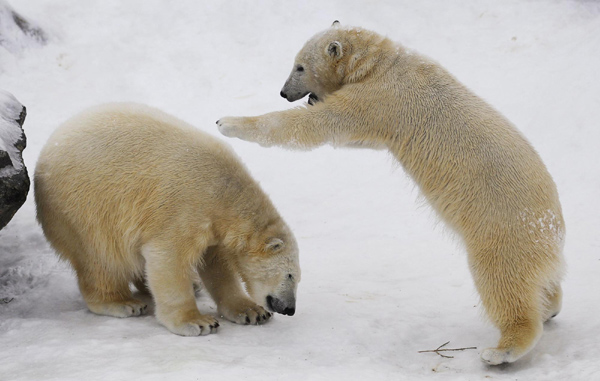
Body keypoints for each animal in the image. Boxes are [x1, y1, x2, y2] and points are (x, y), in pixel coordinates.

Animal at [34, 103, 300, 336]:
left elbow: (217, 266)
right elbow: (169, 259)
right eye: (290, 275)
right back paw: (124, 303)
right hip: (86, 210)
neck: (225, 192)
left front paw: (252, 312)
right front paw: (198, 323)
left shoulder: (214, 228)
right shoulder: (185, 208)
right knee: (101, 258)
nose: (290, 308)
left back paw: (191, 283)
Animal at [218, 21, 564, 366]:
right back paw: (550, 308)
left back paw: (501, 350)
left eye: (300, 66)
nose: (284, 92)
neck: (381, 63)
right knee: (543, 284)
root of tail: (552, 228)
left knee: (502, 284)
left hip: (501, 232)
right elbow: (356, 138)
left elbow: (317, 125)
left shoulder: (380, 99)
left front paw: (229, 122)